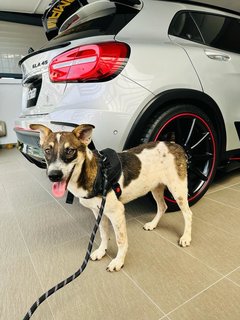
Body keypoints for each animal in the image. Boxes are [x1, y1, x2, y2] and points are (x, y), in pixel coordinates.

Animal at [30, 124, 193, 272]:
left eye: (70, 150)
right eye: (47, 150)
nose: (54, 175)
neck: (94, 173)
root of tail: (173, 144)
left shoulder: (117, 212)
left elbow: (120, 240)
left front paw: (118, 261)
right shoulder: (99, 211)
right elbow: (103, 234)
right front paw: (102, 251)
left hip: (177, 189)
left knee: (188, 214)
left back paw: (186, 237)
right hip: (156, 187)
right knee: (162, 206)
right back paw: (153, 224)